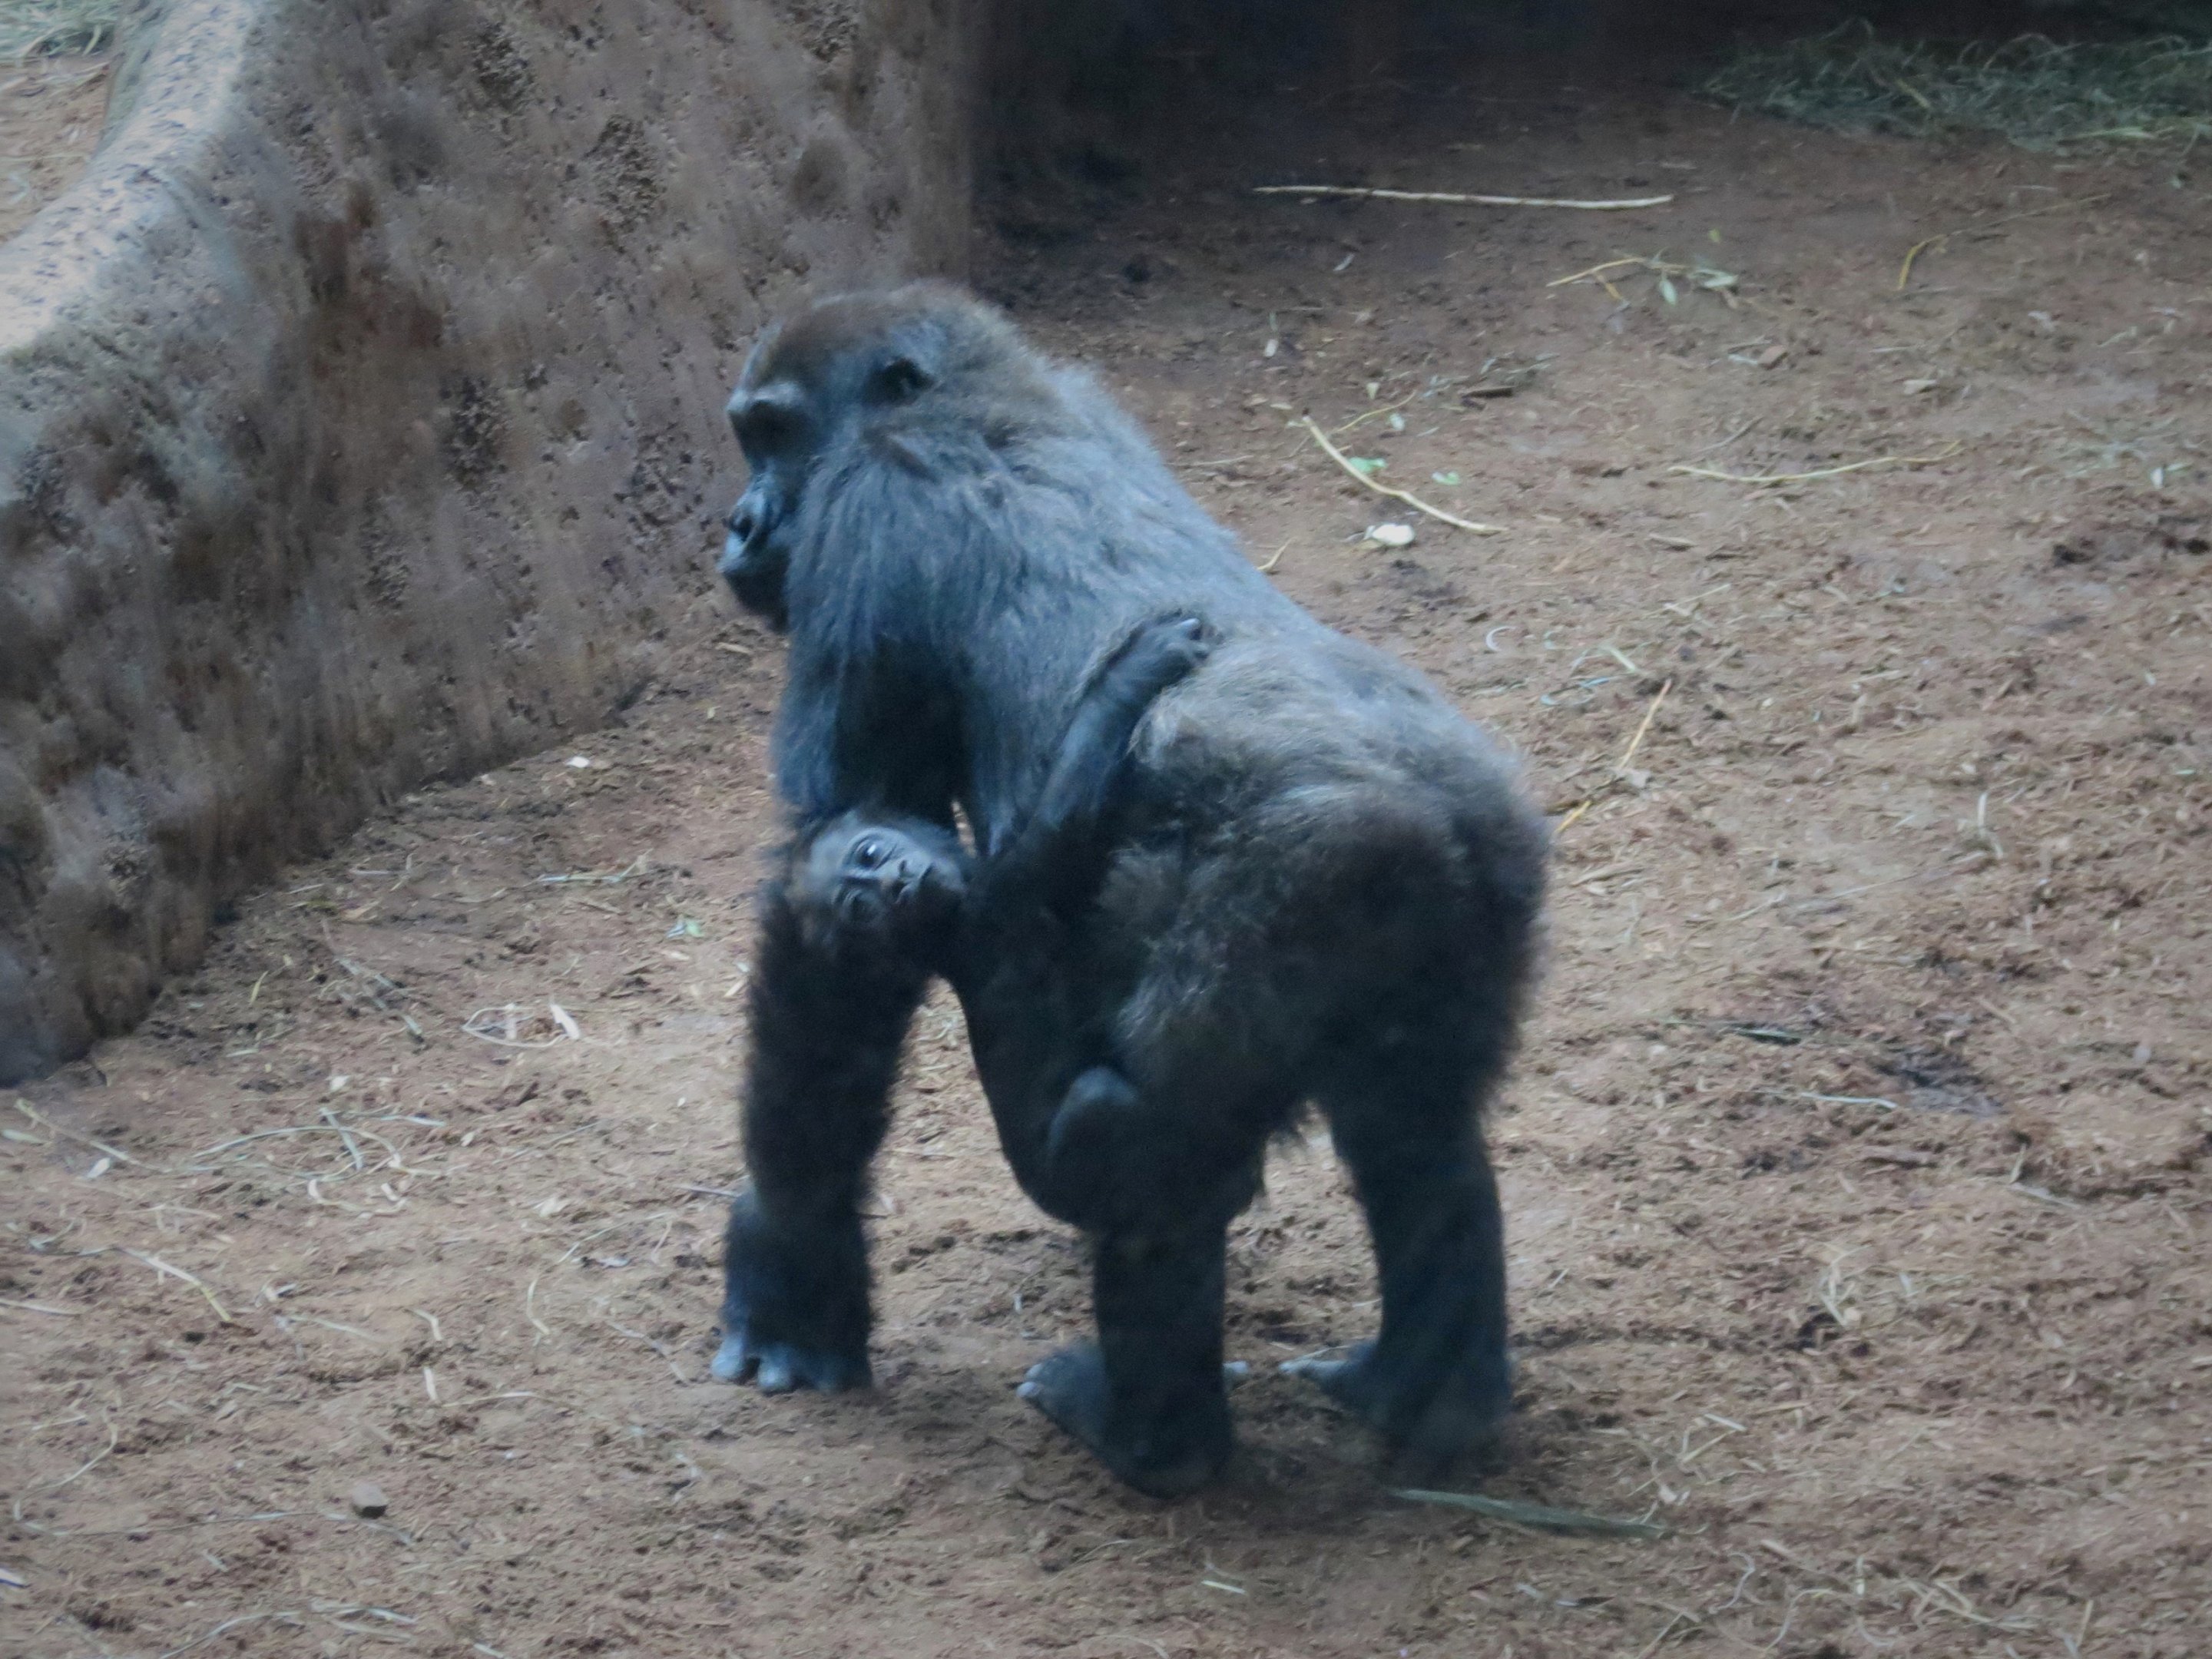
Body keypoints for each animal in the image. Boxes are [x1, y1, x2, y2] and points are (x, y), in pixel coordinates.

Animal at [713, 282, 1547, 1498]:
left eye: (774, 434)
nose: (737, 523)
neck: (980, 396)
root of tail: (1440, 813)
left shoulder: (868, 512)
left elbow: (842, 880)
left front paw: (791, 1265)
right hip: (1479, 894)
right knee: (1414, 1128)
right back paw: (1424, 1392)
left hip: (1289, 894)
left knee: (1141, 1159)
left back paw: (1157, 1442)